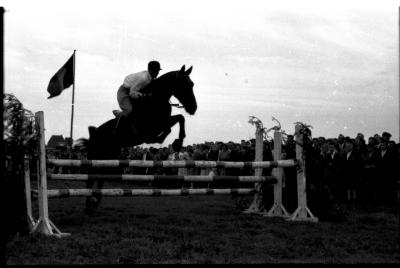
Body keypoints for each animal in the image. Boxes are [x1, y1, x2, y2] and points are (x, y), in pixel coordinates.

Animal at [84, 65, 197, 214]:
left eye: (192, 84)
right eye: (184, 85)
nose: (193, 108)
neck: (155, 99)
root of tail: (93, 135)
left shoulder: (163, 121)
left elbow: (179, 118)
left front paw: (177, 142)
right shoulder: (151, 127)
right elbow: (170, 126)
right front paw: (172, 142)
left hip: (109, 157)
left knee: (100, 177)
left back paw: (94, 202)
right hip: (96, 157)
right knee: (91, 178)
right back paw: (88, 205)